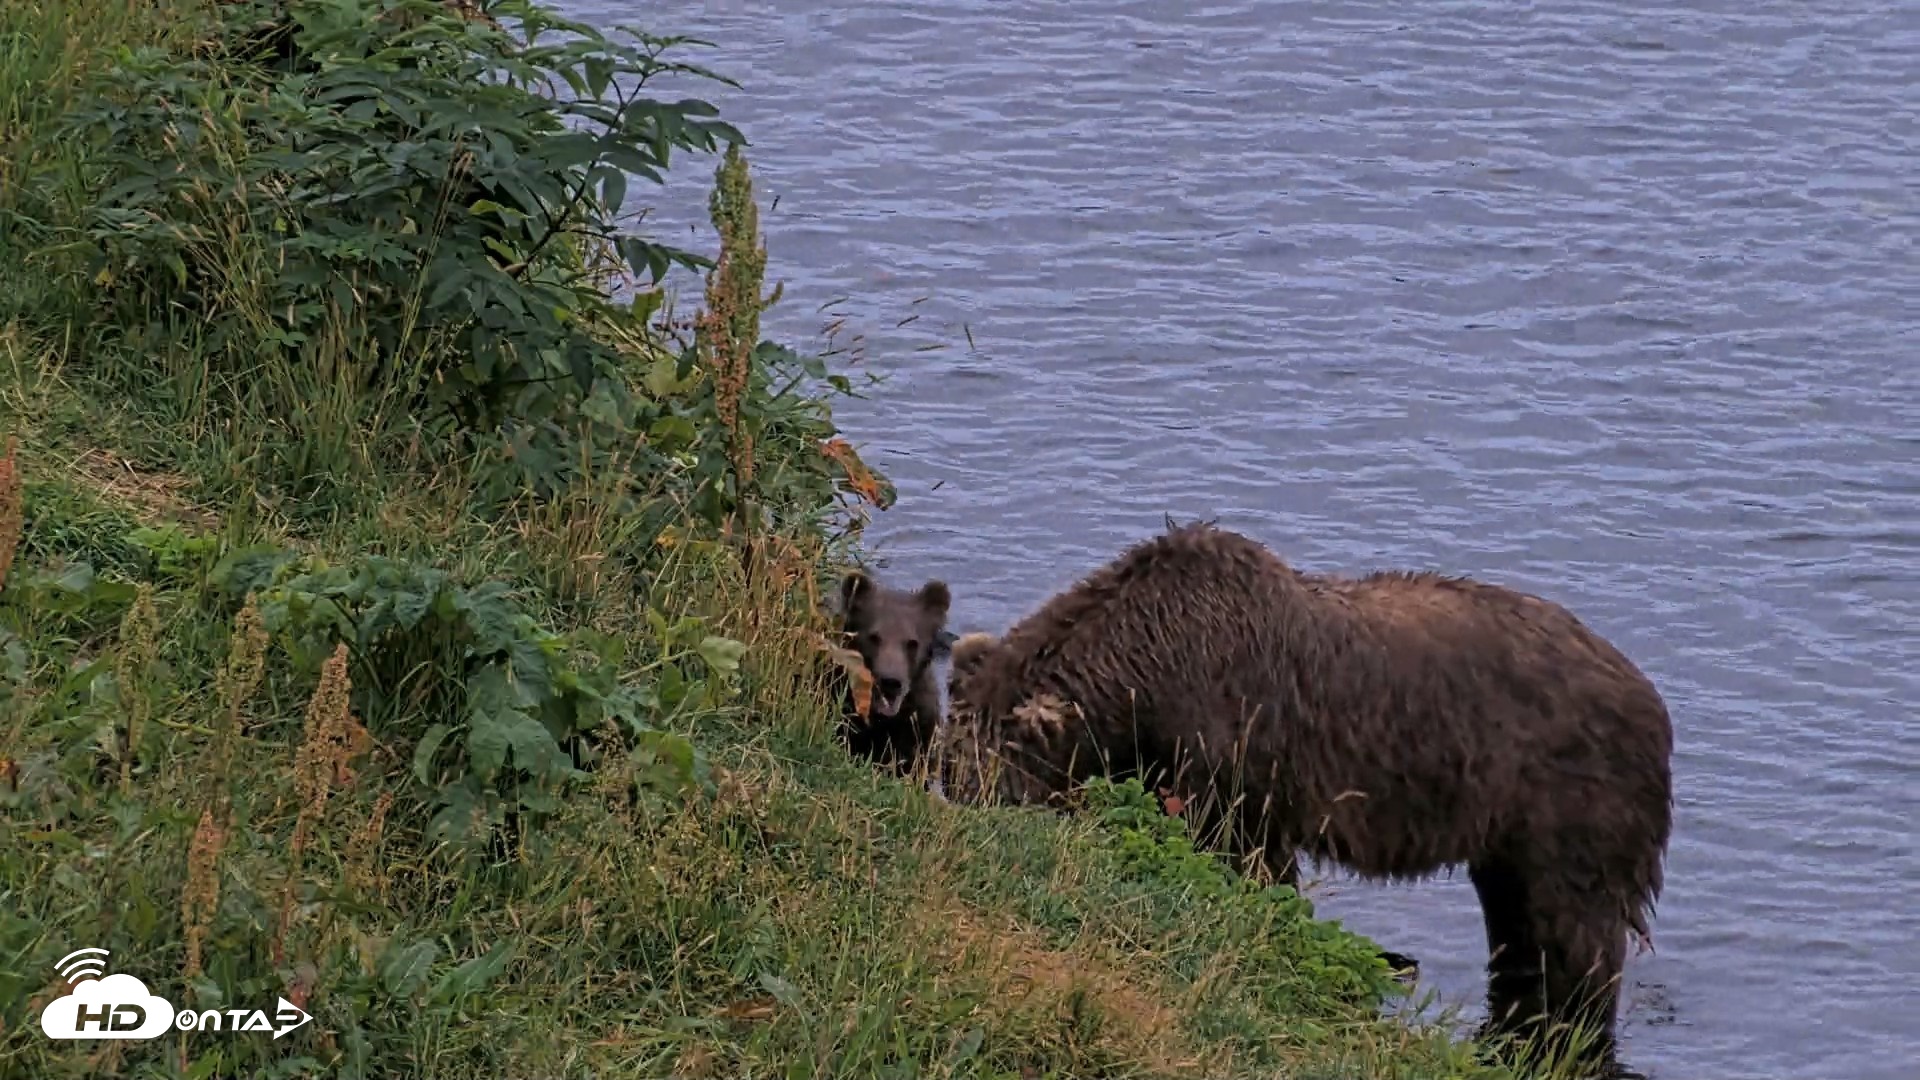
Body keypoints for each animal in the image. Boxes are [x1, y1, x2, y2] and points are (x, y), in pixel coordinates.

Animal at [932, 521, 1674, 1078]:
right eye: (949, 774)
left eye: (980, 784)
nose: (960, 838)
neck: (1144, 667)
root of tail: (1650, 696)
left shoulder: (1233, 750)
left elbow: (1242, 854)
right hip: (1511, 830)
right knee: (1516, 915)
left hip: (1565, 795)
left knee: (1571, 929)